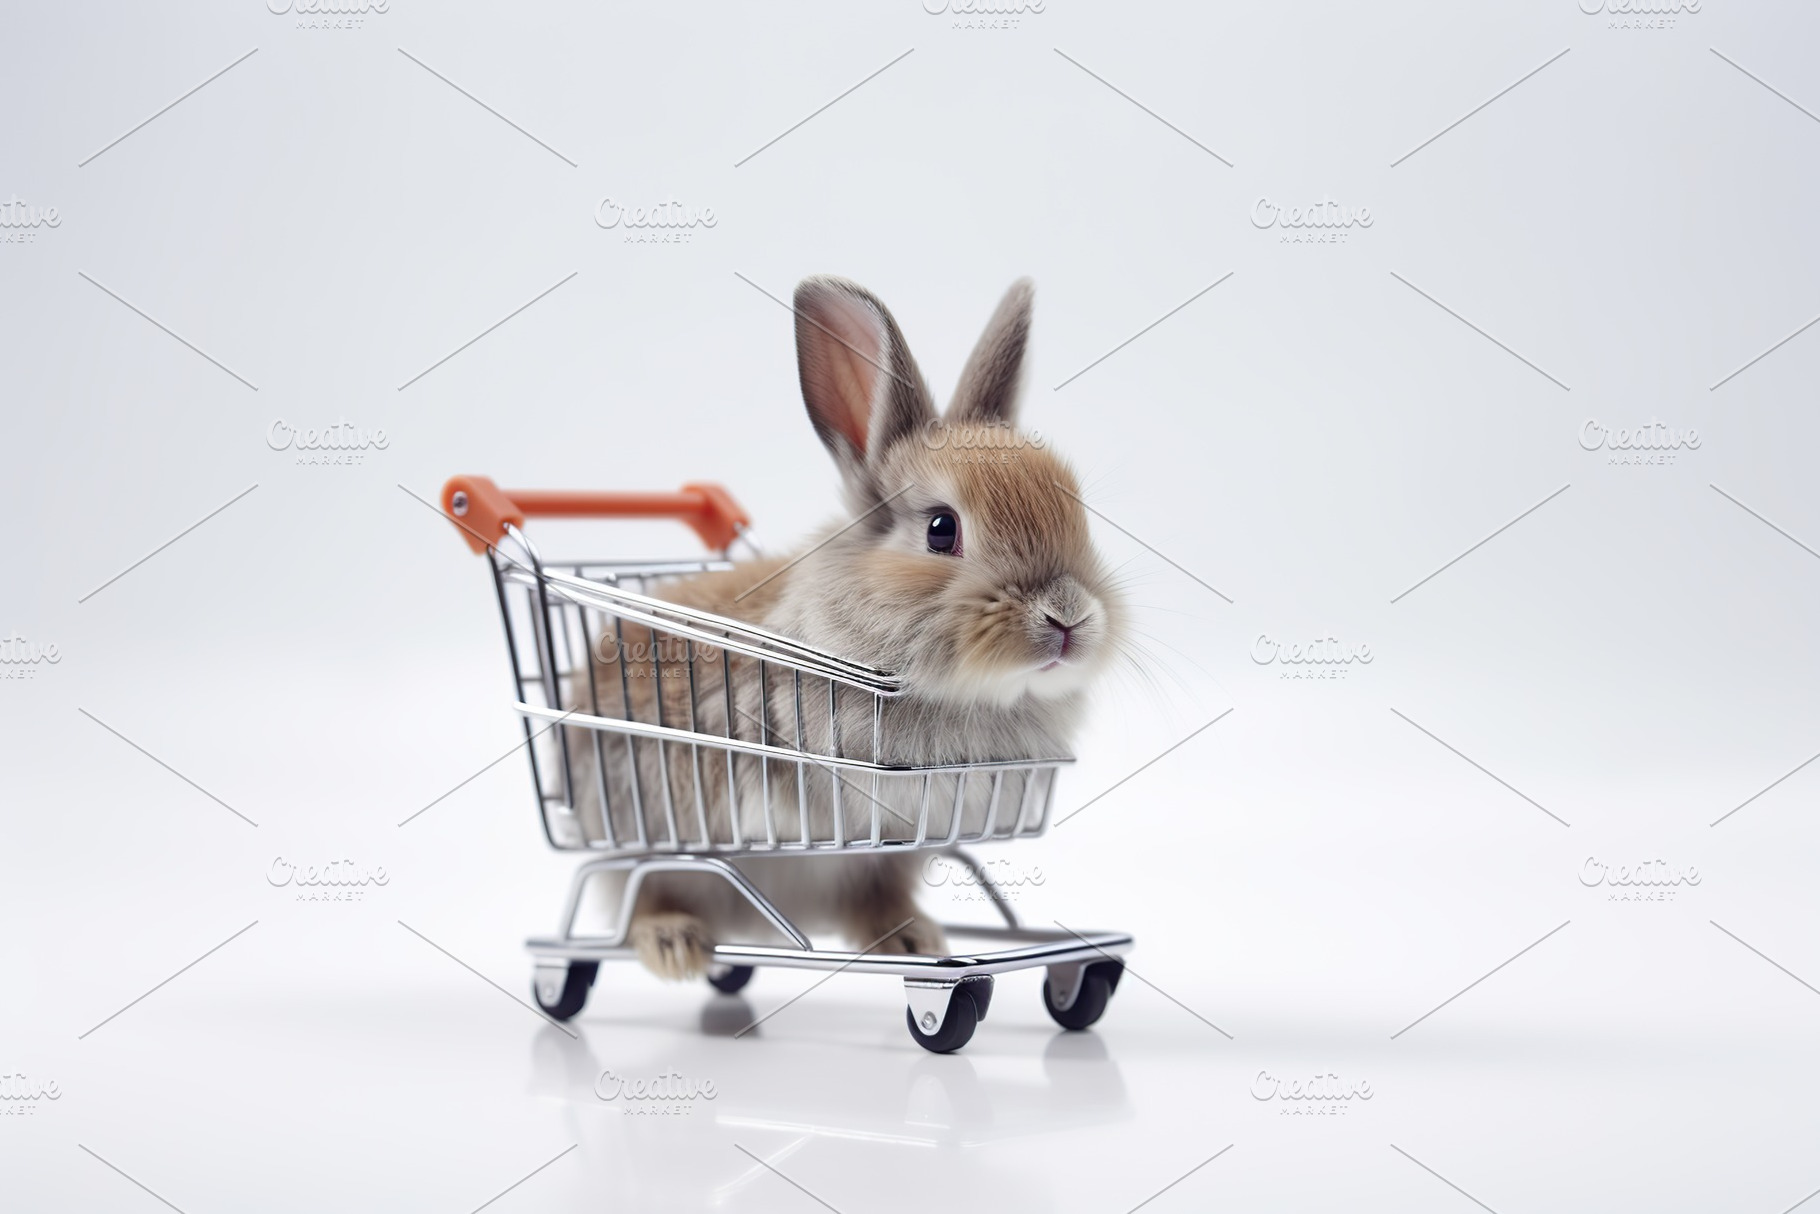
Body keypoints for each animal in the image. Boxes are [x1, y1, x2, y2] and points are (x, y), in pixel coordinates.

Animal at [564, 275, 1127, 982]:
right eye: (941, 528)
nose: (1068, 615)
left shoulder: (890, 849)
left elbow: (880, 896)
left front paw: (918, 943)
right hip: (646, 829)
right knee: (640, 887)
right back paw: (674, 945)